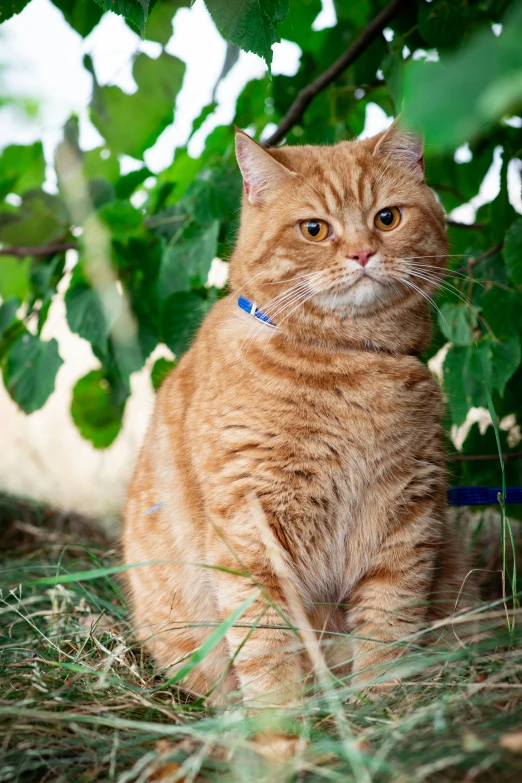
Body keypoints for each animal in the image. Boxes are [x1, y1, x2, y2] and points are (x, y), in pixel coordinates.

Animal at [123, 124, 472, 712]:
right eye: (314, 229)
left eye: (387, 218)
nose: (361, 252)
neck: (346, 364)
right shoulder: (253, 532)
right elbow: (267, 644)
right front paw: (281, 721)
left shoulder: (406, 518)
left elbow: (389, 621)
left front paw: (383, 704)